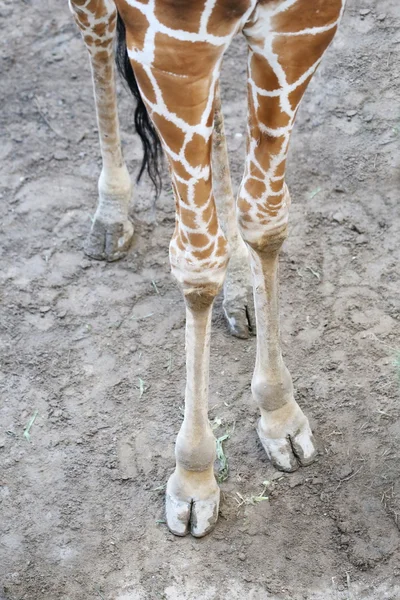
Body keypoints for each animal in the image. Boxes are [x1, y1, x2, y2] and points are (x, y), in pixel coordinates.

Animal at [70, 0, 346, 536]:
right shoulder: (169, 44)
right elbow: (197, 263)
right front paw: (194, 478)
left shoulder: (302, 25)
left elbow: (265, 216)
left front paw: (280, 415)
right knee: (97, 36)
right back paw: (111, 213)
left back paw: (239, 292)